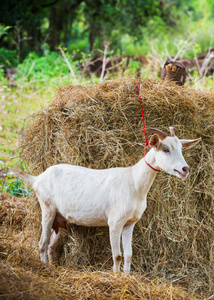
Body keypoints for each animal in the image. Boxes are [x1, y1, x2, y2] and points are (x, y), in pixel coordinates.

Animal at [12, 127, 201, 274]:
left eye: (181, 149)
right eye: (166, 149)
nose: (185, 169)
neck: (133, 181)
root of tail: (37, 178)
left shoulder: (129, 223)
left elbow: (128, 255)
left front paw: (127, 277)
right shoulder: (115, 222)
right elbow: (117, 255)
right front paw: (116, 277)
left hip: (60, 217)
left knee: (51, 245)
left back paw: (53, 266)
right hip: (47, 208)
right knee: (42, 243)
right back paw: (45, 267)